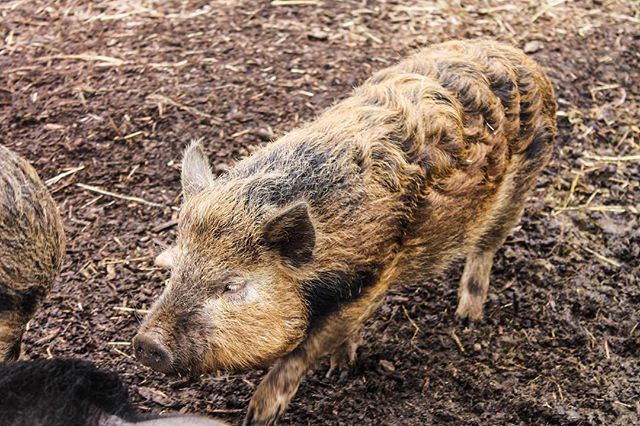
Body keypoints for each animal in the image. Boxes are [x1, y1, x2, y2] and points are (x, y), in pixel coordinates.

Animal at [134, 39, 556, 425]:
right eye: (175, 268)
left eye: (232, 285)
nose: (146, 343)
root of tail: (523, 59)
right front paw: (340, 370)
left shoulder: (371, 279)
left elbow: (305, 349)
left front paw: (258, 416)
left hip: (519, 188)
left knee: (485, 248)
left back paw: (467, 320)